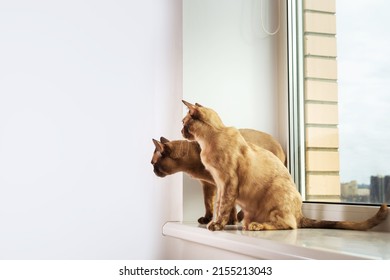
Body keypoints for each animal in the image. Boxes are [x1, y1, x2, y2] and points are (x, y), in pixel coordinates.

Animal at [152, 130, 286, 225]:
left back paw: (241, 218)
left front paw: (229, 221)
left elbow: (228, 205)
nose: (153, 171)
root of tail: (278, 143)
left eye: (153, 163)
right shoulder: (208, 185)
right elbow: (208, 203)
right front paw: (208, 219)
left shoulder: (226, 183)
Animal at [181, 99, 388, 231]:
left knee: (290, 225)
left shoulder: (227, 183)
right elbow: (219, 206)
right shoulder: (219, 183)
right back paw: (249, 224)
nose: (180, 130)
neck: (207, 144)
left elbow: (222, 208)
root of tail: (300, 212)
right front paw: (215, 222)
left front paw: (216, 225)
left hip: (277, 193)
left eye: (184, 123)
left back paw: (256, 226)